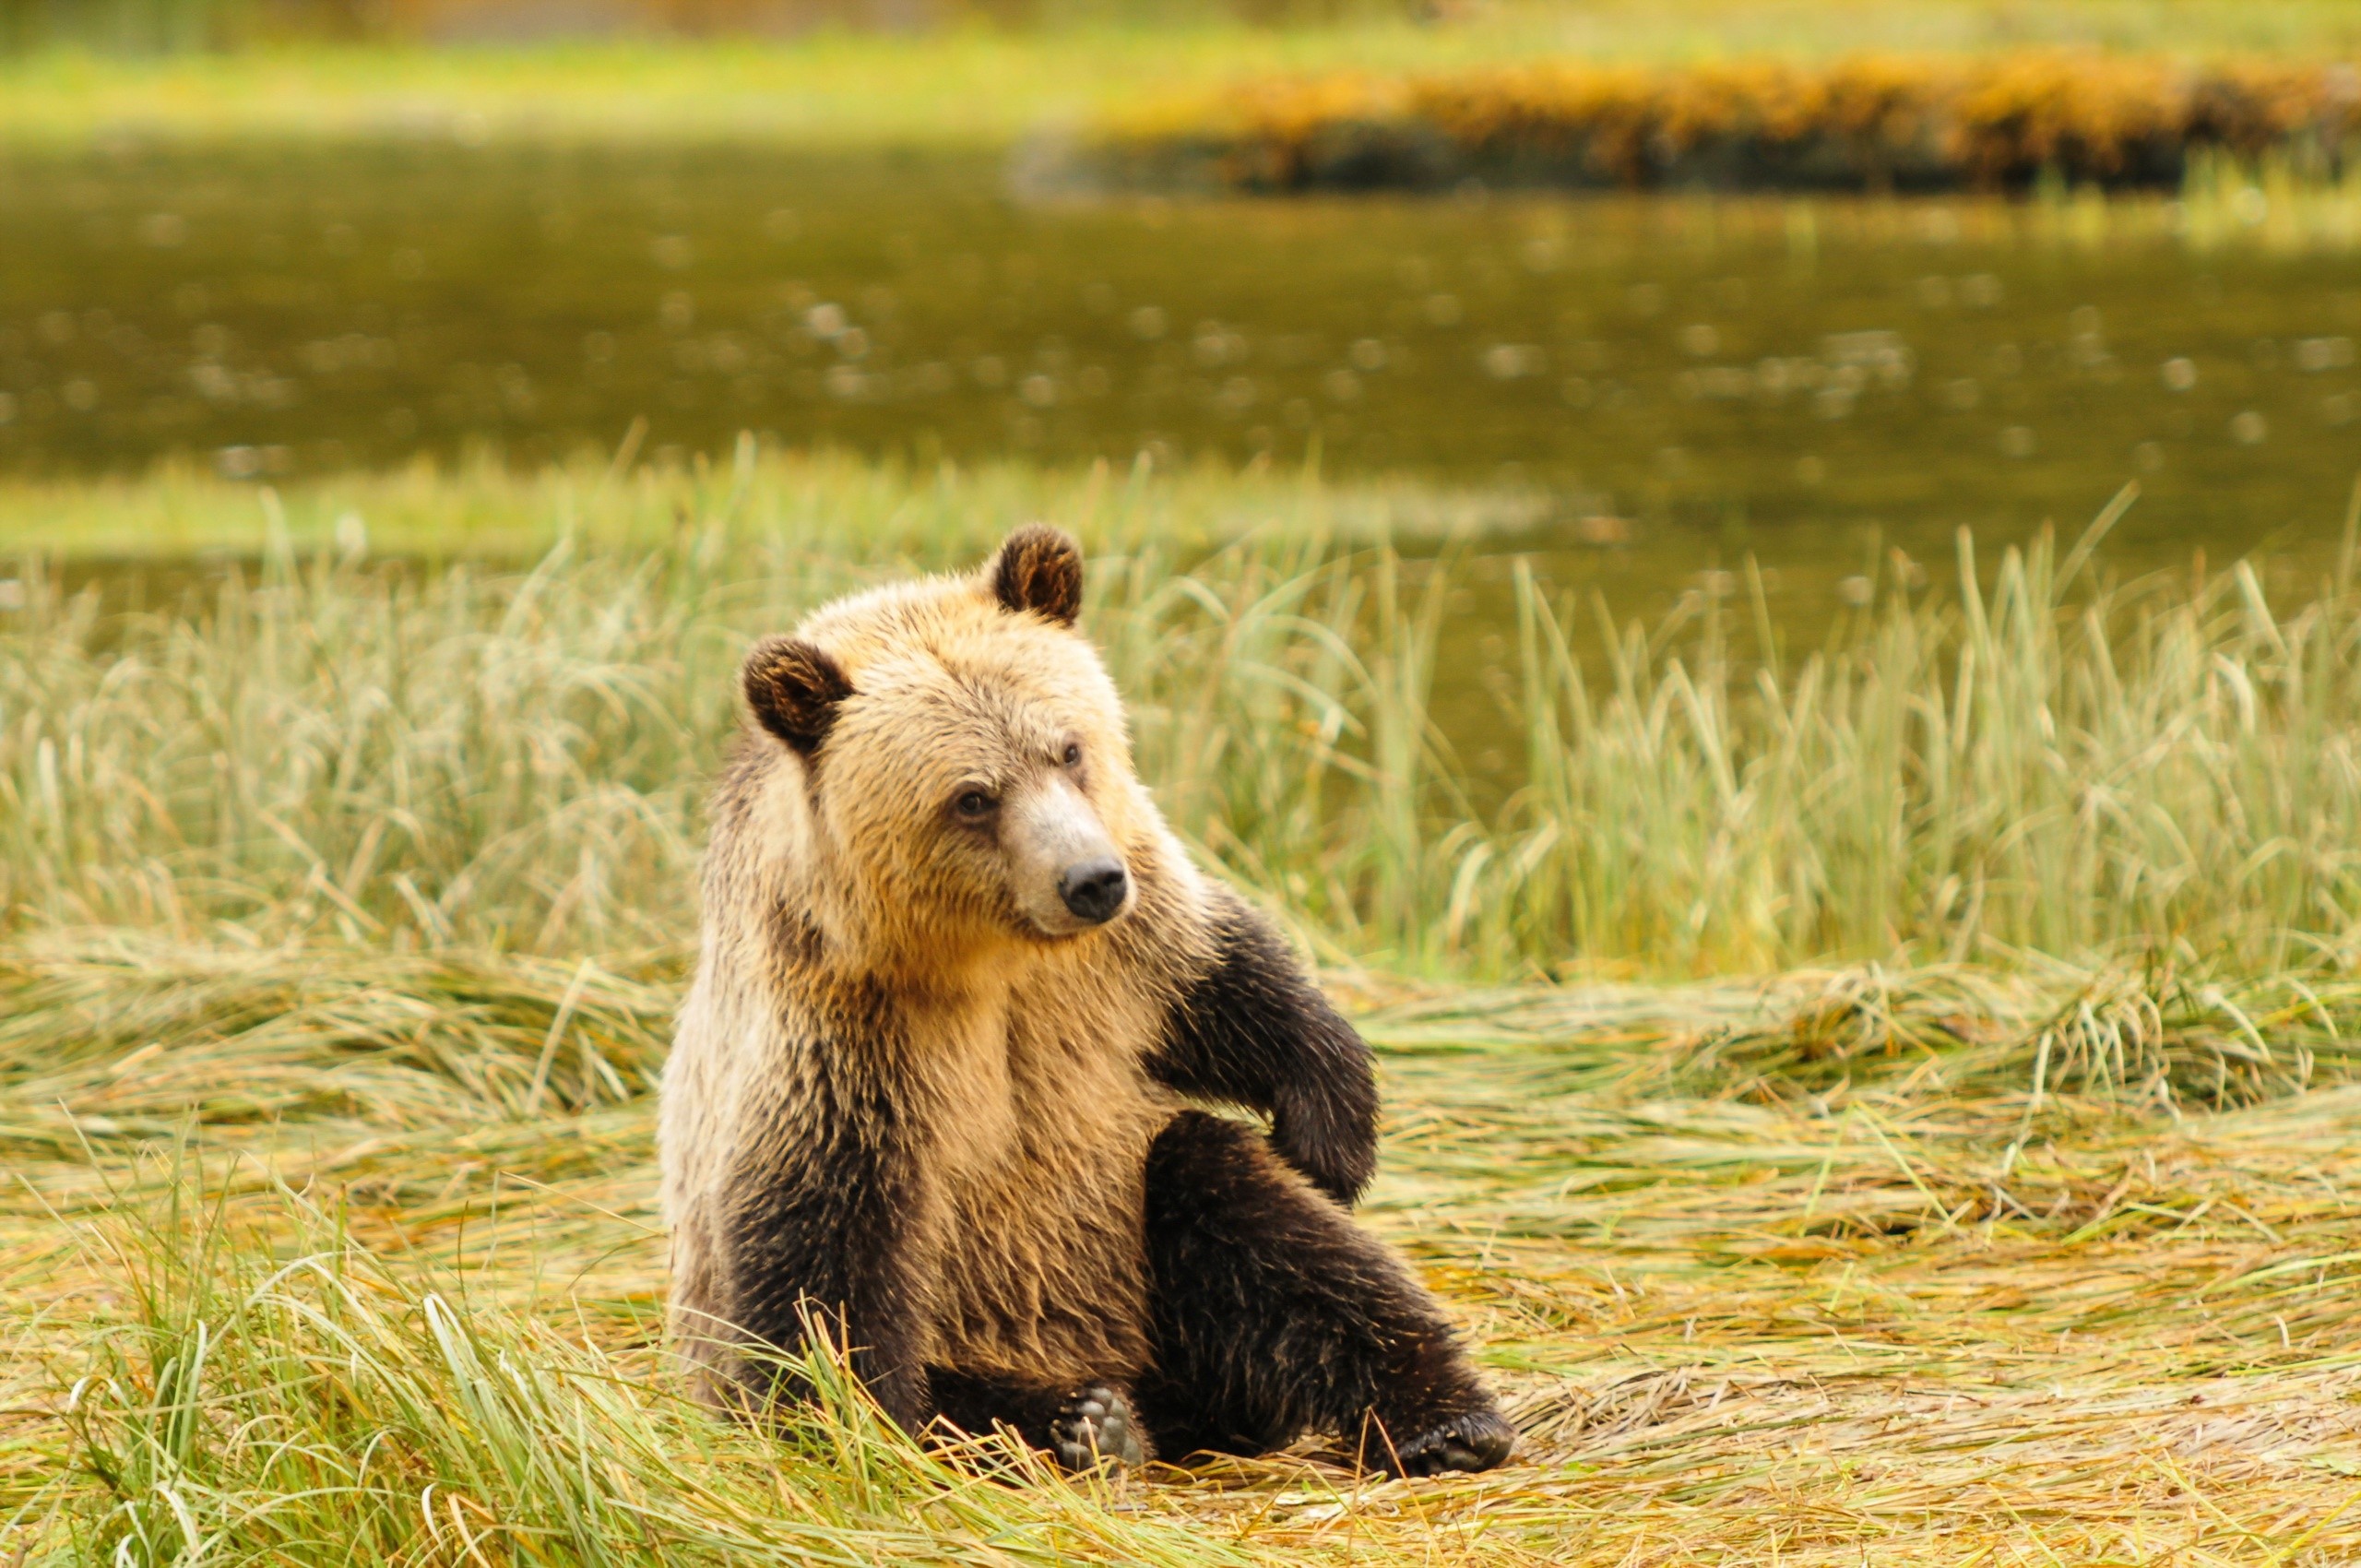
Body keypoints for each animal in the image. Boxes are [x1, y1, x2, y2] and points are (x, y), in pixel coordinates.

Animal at [657, 525, 1514, 1477]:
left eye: (1067, 749)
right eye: (972, 796)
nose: (1091, 880)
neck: (989, 958)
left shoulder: (1119, 967)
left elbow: (1237, 989)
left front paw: (1330, 1137)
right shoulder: (845, 1041)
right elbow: (823, 1283)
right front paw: (855, 1427)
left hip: (1132, 1226)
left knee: (1249, 1215)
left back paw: (1445, 1421)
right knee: (969, 1393)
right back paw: (1088, 1424)